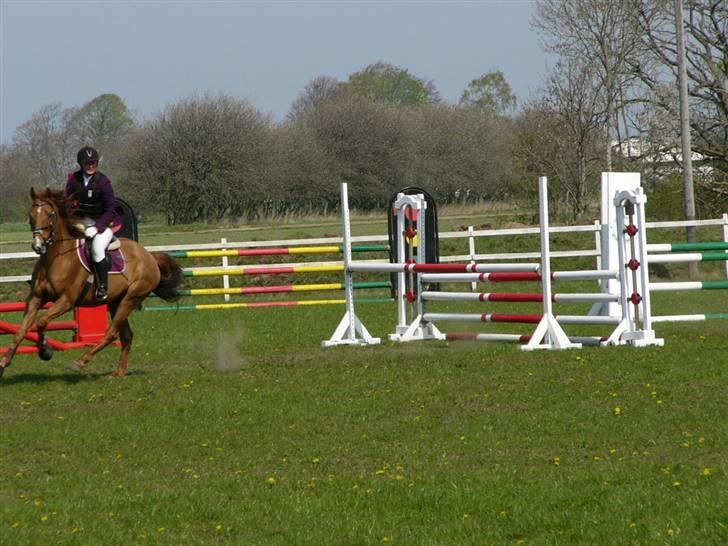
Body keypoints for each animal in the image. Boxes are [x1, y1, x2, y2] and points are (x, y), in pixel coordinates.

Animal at [0, 188, 182, 378]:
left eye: (50, 215)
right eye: (31, 215)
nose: (38, 246)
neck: (56, 258)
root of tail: (149, 255)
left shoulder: (66, 301)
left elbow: (41, 322)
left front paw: (45, 350)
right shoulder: (35, 298)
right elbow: (22, 330)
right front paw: (4, 362)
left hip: (131, 298)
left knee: (112, 333)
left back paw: (80, 362)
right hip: (116, 302)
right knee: (126, 335)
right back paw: (119, 373)